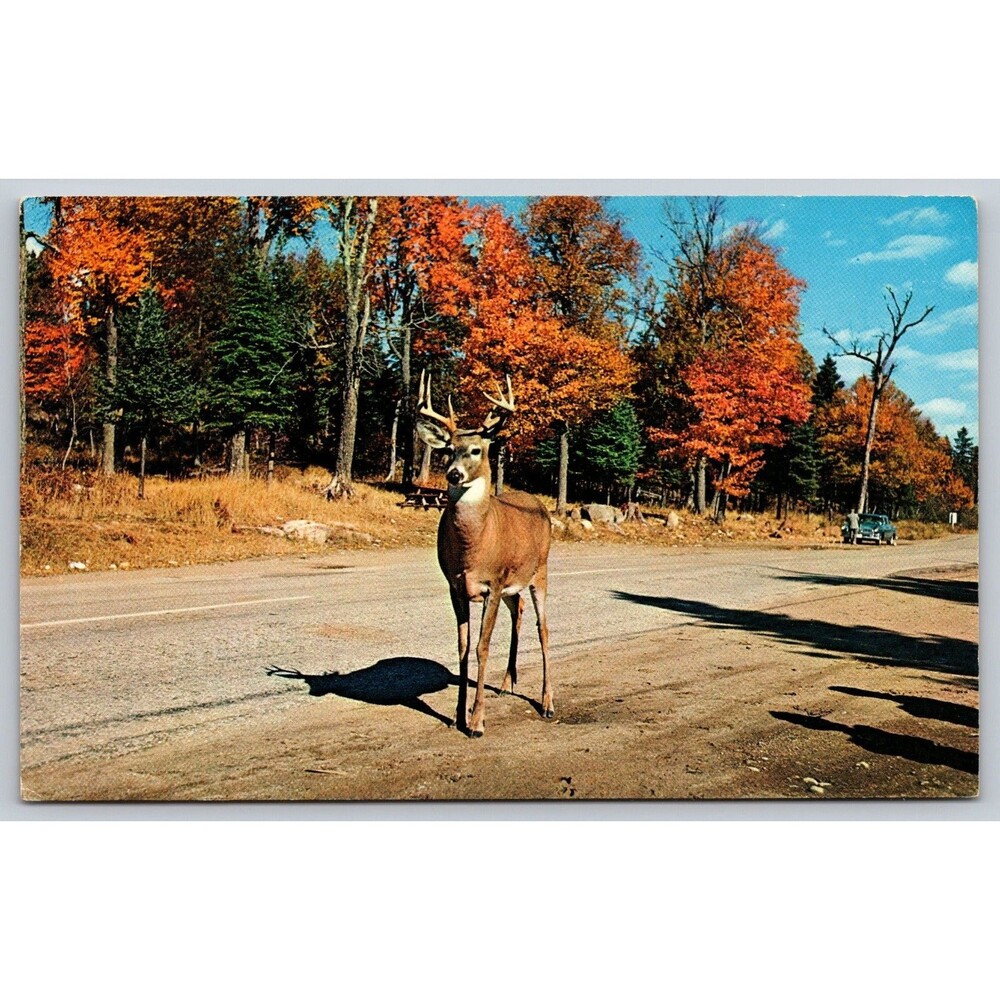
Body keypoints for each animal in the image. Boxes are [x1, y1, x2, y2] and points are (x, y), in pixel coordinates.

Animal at [416, 371, 553, 737]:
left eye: (476, 450)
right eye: (448, 450)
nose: (454, 474)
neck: (473, 548)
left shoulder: (492, 583)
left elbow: (482, 646)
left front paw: (476, 721)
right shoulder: (456, 587)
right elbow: (463, 648)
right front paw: (456, 716)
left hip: (540, 571)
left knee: (543, 628)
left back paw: (547, 703)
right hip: (513, 584)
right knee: (519, 611)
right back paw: (506, 683)